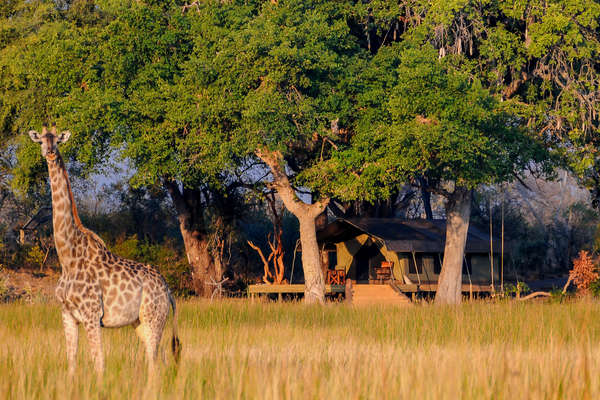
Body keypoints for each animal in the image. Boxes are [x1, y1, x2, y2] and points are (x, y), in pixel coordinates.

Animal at [29, 125, 180, 378]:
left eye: (57, 141)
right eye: (41, 141)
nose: (49, 153)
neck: (68, 258)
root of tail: (168, 291)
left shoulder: (91, 316)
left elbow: (98, 362)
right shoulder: (67, 315)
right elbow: (71, 362)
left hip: (154, 319)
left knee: (154, 360)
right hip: (139, 323)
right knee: (156, 360)